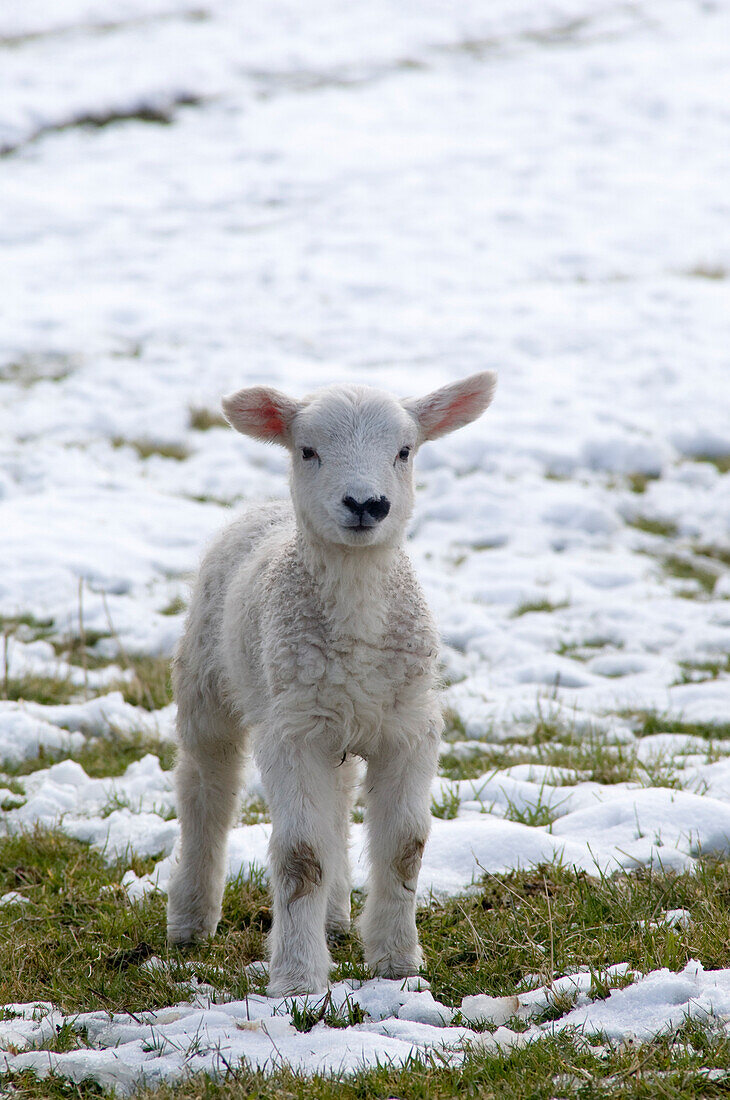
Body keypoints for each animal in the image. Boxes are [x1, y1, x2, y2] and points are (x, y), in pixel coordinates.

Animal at [164, 371, 496, 998]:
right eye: (308, 451)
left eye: (405, 451)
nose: (366, 504)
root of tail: (266, 510)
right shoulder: (291, 732)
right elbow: (301, 856)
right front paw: (298, 979)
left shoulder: (408, 727)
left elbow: (405, 847)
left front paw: (398, 963)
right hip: (207, 683)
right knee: (205, 791)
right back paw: (191, 921)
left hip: (336, 722)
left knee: (338, 805)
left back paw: (338, 918)